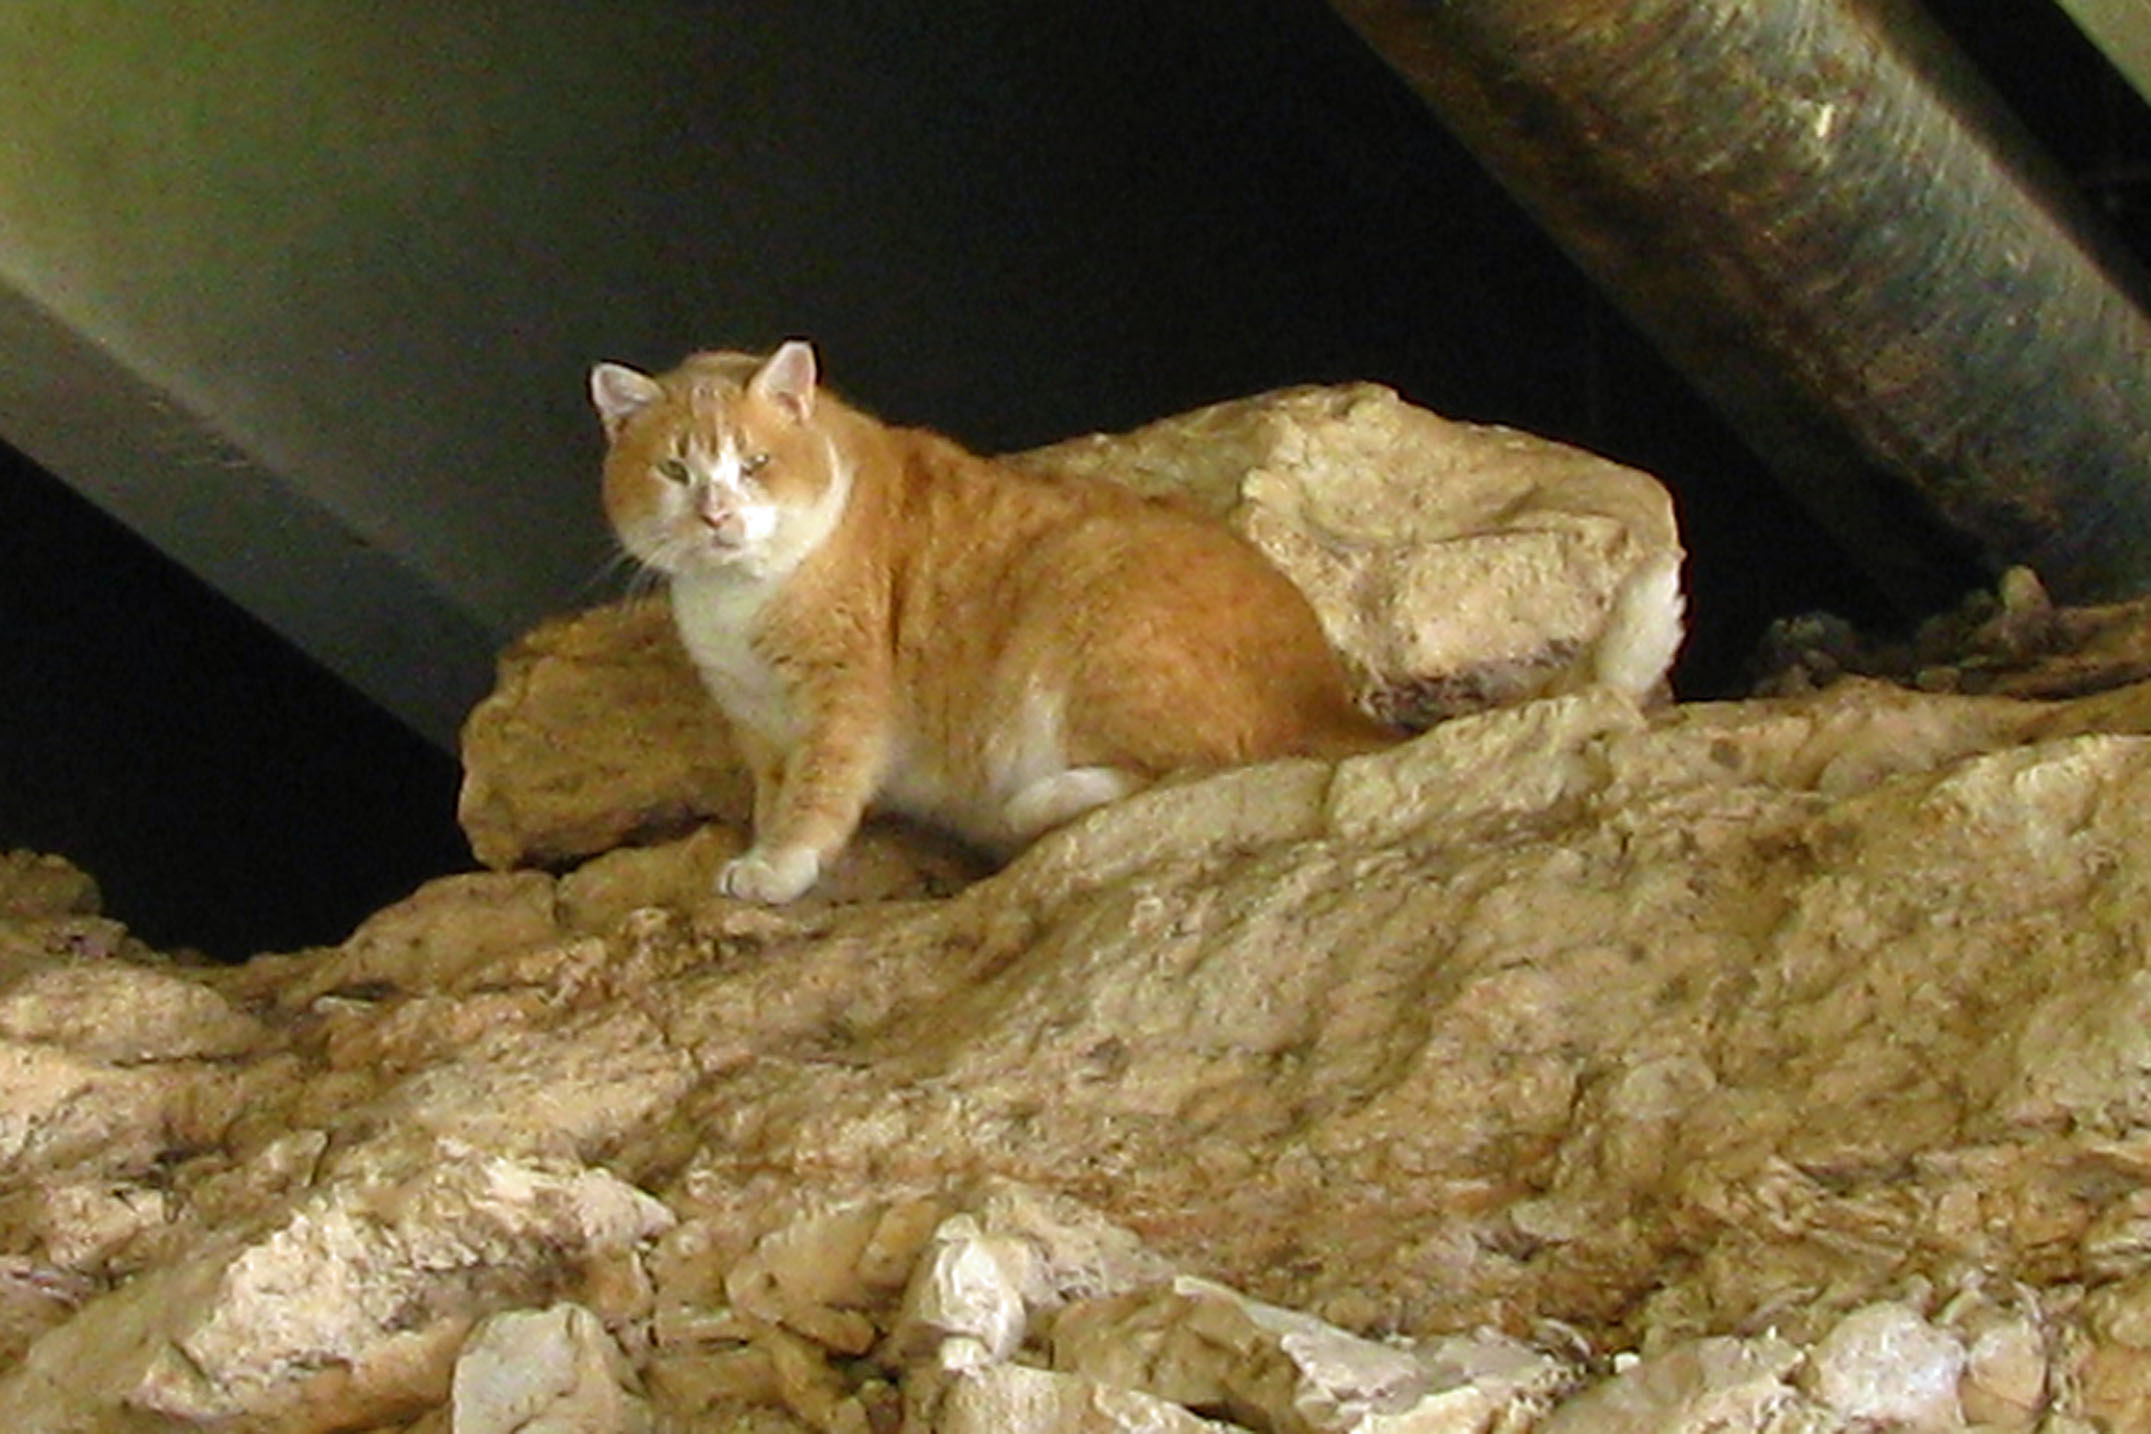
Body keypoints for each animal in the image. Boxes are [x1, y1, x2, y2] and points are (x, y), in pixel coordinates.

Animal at [590, 340, 1395, 903]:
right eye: (674, 471)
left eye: (754, 463)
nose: (716, 515)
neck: (736, 600)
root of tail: (1325, 695)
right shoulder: (757, 726)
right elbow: (774, 798)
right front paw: (762, 845)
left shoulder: (844, 699)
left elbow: (817, 797)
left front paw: (777, 868)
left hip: (1085, 602)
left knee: (1187, 775)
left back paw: (1036, 804)